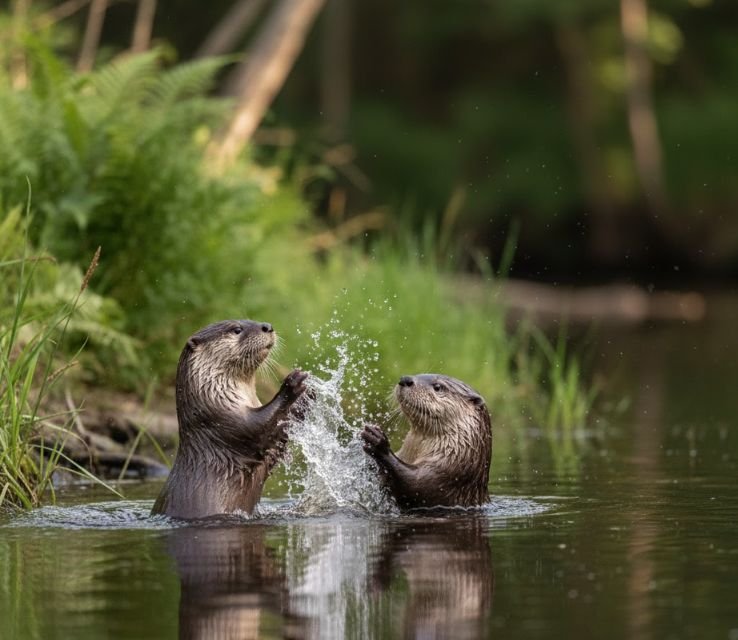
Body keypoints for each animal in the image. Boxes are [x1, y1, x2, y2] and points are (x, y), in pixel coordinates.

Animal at [152, 319, 308, 519]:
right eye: (237, 329)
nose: (267, 326)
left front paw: (307, 397)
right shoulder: (223, 422)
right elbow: (258, 428)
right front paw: (292, 383)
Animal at [361, 374, 491, 509]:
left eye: (438, 387)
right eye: (417, 374)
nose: (405, 379)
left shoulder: (445, 476)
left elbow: (414, 486)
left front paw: (379, 443)